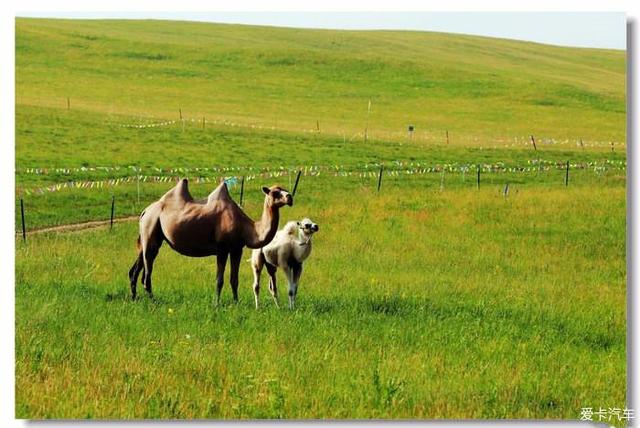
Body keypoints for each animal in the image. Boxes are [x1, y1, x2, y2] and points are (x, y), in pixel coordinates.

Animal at [127, 178, 292, 304]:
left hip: (151, 236)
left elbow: (234, 279)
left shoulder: (237, 249)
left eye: (284, 189)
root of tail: (145, 211)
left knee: (135, 269)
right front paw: (216, 304)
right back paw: (153, 301)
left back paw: (135, 299)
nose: (289, 197)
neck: (248, 227)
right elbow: (219, 280)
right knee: (146, 274)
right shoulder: (222, 249)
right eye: (275, 192)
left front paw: (236, 302)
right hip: (151, 227)